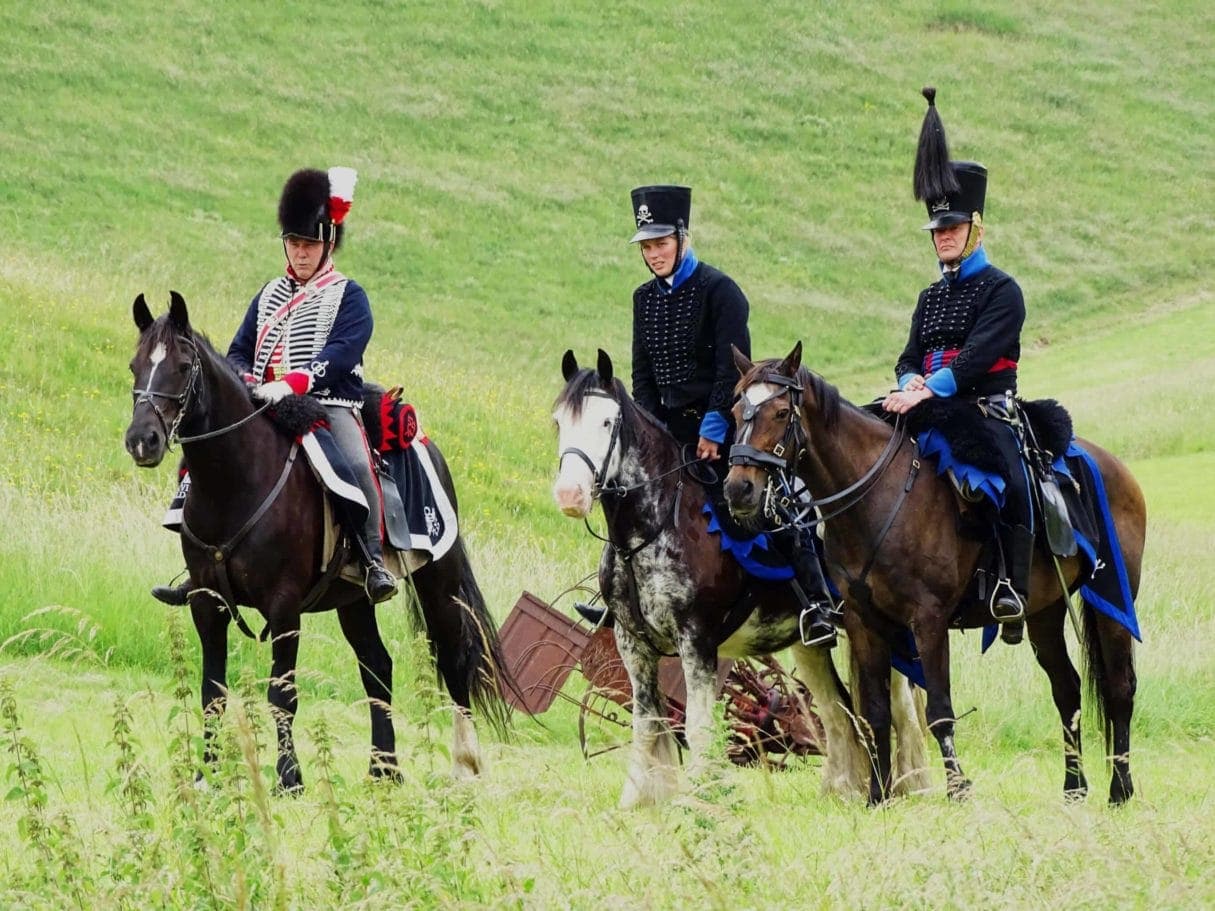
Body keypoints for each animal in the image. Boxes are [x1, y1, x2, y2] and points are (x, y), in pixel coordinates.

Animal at [119, 292, 507, 791]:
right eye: (135, 365)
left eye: (184, 366)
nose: (142, 440)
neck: (237, 480)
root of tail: (425, 443)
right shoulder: (206, 602)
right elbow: (212, 691)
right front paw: (207, 775)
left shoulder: (284, 607)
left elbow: (281, 694)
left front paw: (289, 778)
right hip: (354, 601)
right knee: (377, 668)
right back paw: (384, 769)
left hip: (438, 584)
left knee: (454, 660)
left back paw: (464, 765)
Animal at [551, 352, 928, 811]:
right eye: (559, 422)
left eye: (607, 422)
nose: (570, 496)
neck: (656, 527)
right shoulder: (632, 643)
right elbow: (647, 723)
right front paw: (636, 800)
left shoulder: (696, 641)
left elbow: (697, 727)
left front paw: (697, 798)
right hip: (809, 644)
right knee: (836, 710)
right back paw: (839, 791)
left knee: (899, 711)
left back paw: (912, 786)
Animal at [719, 342, 1146, 806]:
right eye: (737, 408)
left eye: (781, 412)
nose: (738, 488)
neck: (879, 496)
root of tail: (1111, 464)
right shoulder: (863, 622)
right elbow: (875, 713)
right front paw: (878, 796)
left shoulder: (929, 620)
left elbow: (939, 710)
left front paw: (958, 790)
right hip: (1044, 612)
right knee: (1067, 690)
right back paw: (1074, 788)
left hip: (1111, 599)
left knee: (1120, 688)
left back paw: (1120, 789)